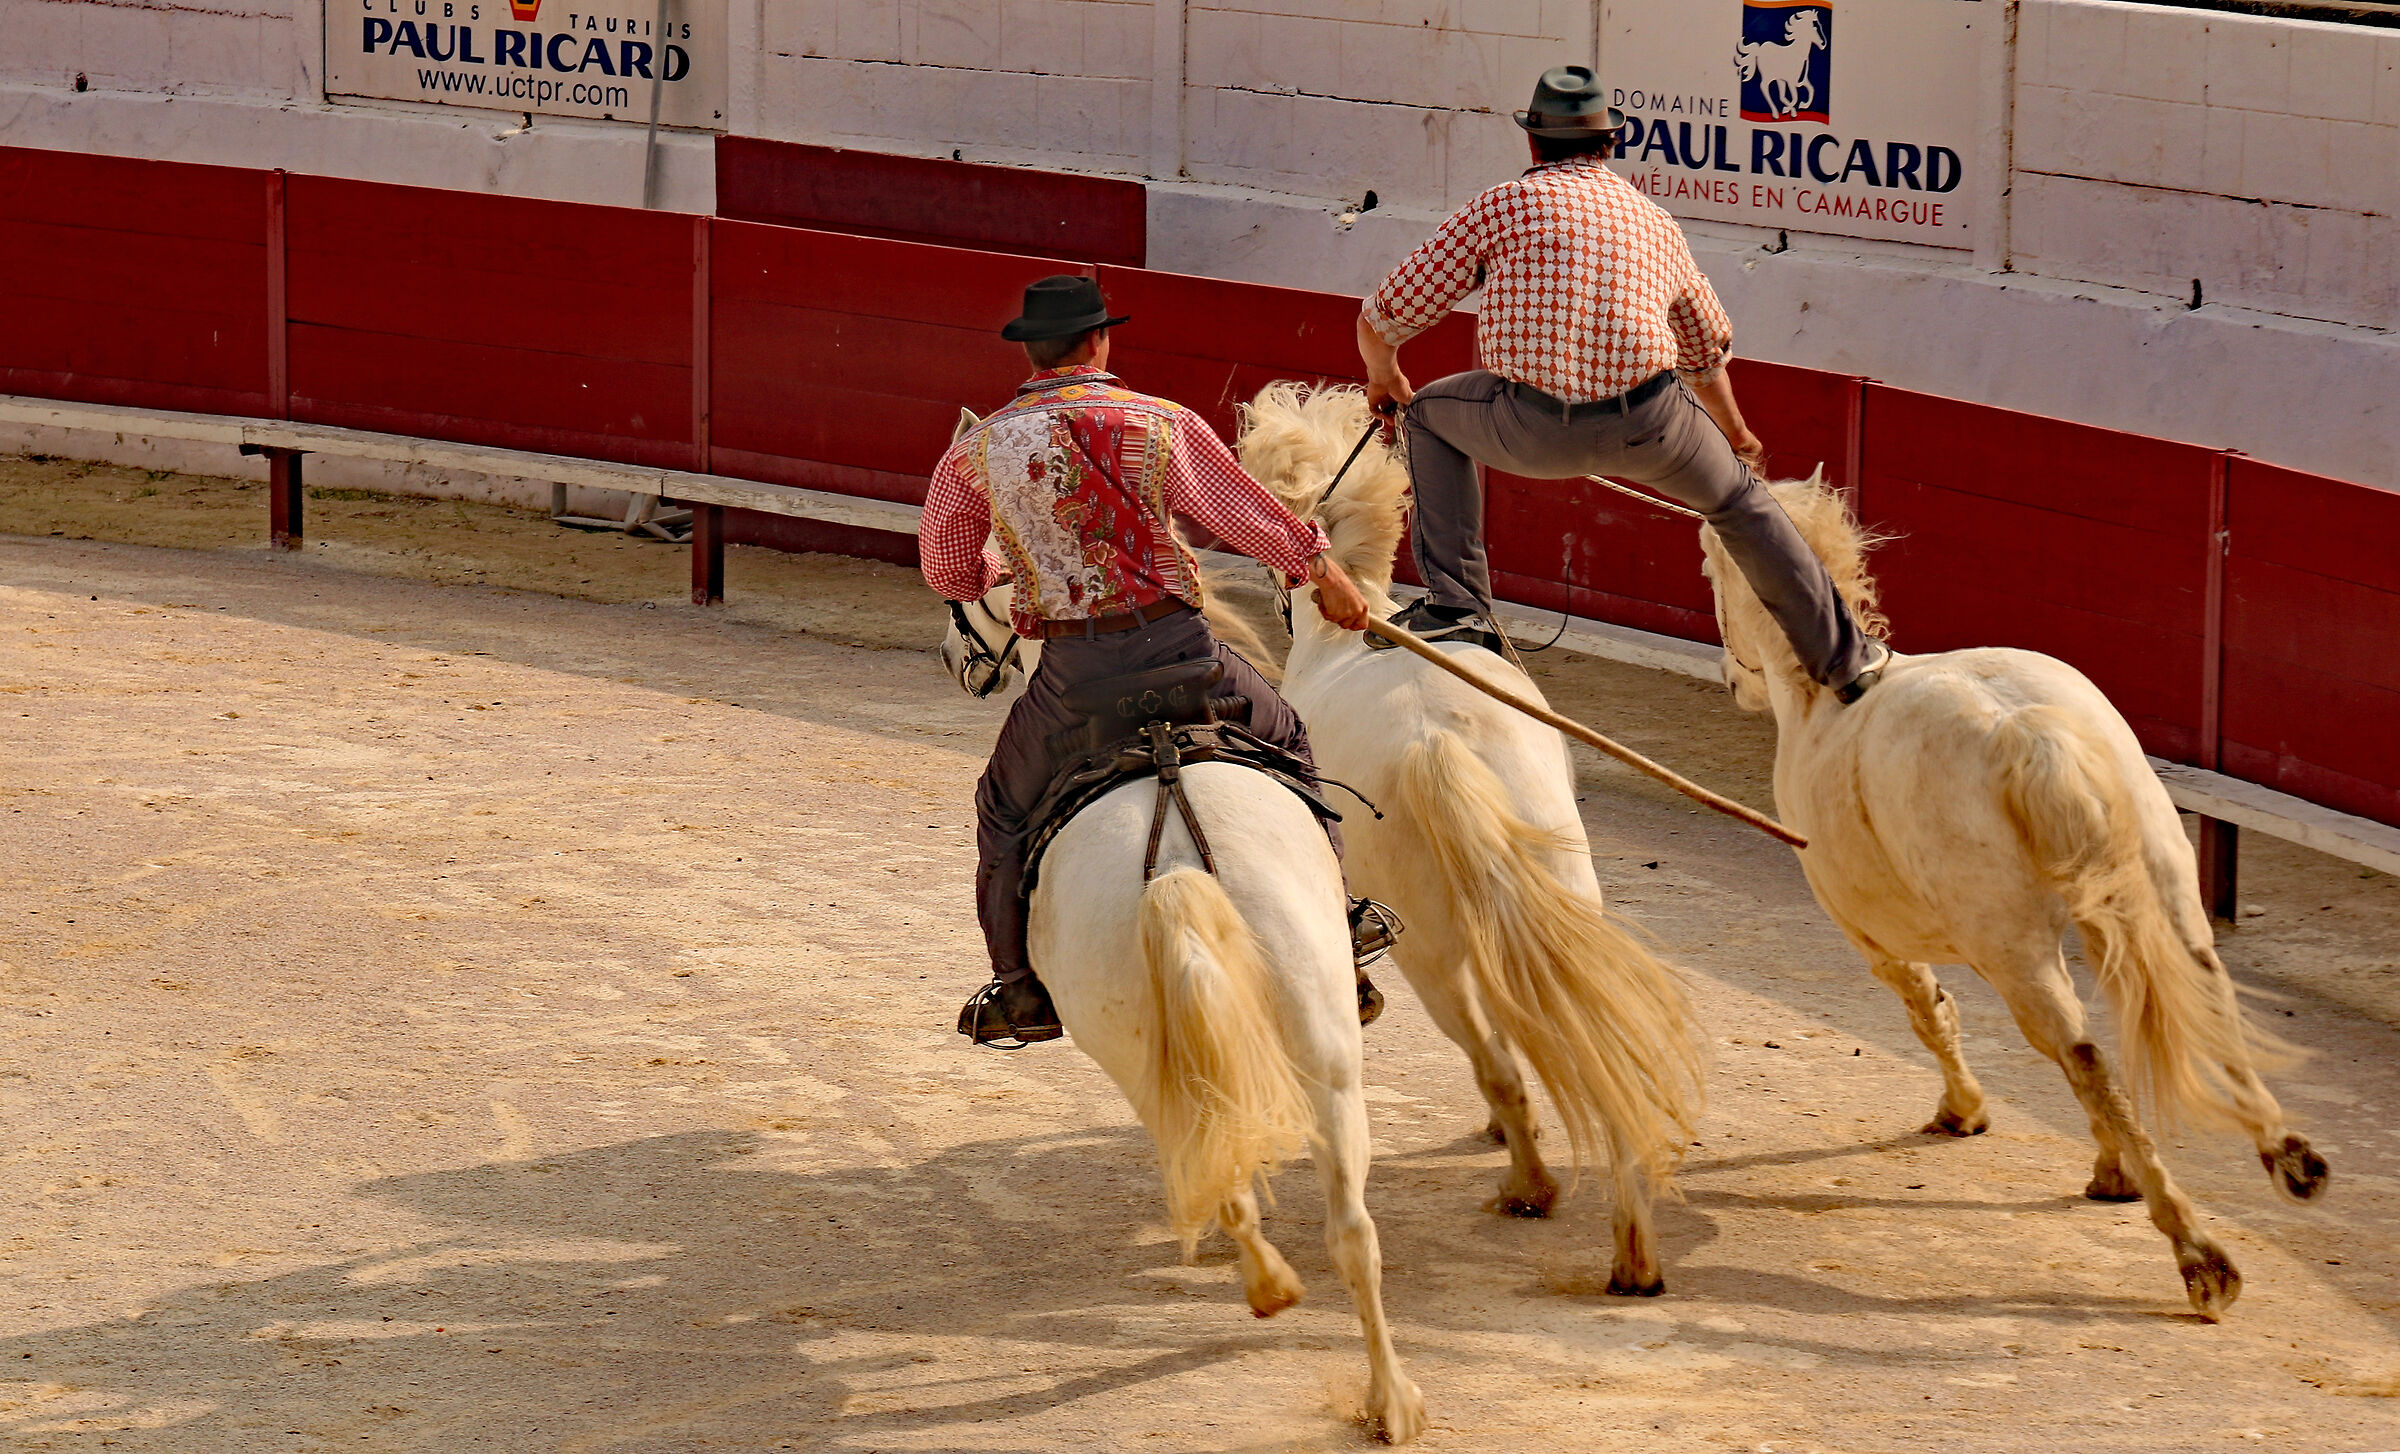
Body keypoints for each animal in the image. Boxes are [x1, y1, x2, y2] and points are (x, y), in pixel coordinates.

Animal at [935, 527, 1426, 1443]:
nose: (955, 659)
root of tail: (1173, 868)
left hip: (1150, 1068)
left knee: (1227, 1177)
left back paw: (1270, 1287)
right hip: (1324, 1054)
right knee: (1352, 1229)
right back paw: (1390, 1401)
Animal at [1234, 382, 1706, 1298]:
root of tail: (1435, 745)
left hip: (1431, 954)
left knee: (1496, 1055)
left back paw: (1530, 1186)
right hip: (1556, 890)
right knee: (1580, 1040)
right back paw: (1632, 1252)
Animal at [1699, 470, 2328, 1319]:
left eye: (1710, 575)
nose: (1731, 677)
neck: (1824, 696)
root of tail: (2027, 731)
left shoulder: (1873, 939)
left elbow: (1930, 1012)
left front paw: (1964, 1111)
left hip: (2014, 951)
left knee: (2079, 1052)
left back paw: (2199, 1254)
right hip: (2160, 896)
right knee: (2199, 1005)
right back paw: (2284, 1160)